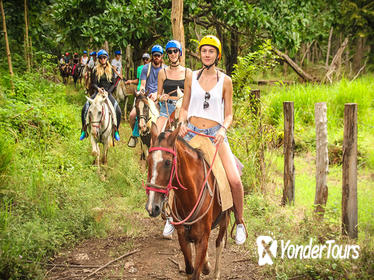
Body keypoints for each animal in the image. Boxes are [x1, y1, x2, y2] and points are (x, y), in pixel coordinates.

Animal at [145, 125, 229, 280]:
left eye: (168, 162)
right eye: (148, 160)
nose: (152, 207)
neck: (191, 195)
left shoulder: (203, 238)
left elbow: (196, 272)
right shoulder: (183, 236)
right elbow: (190, 269)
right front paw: (204, 265)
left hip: (225, 219)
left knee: (219, 243)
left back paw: (216, 272)